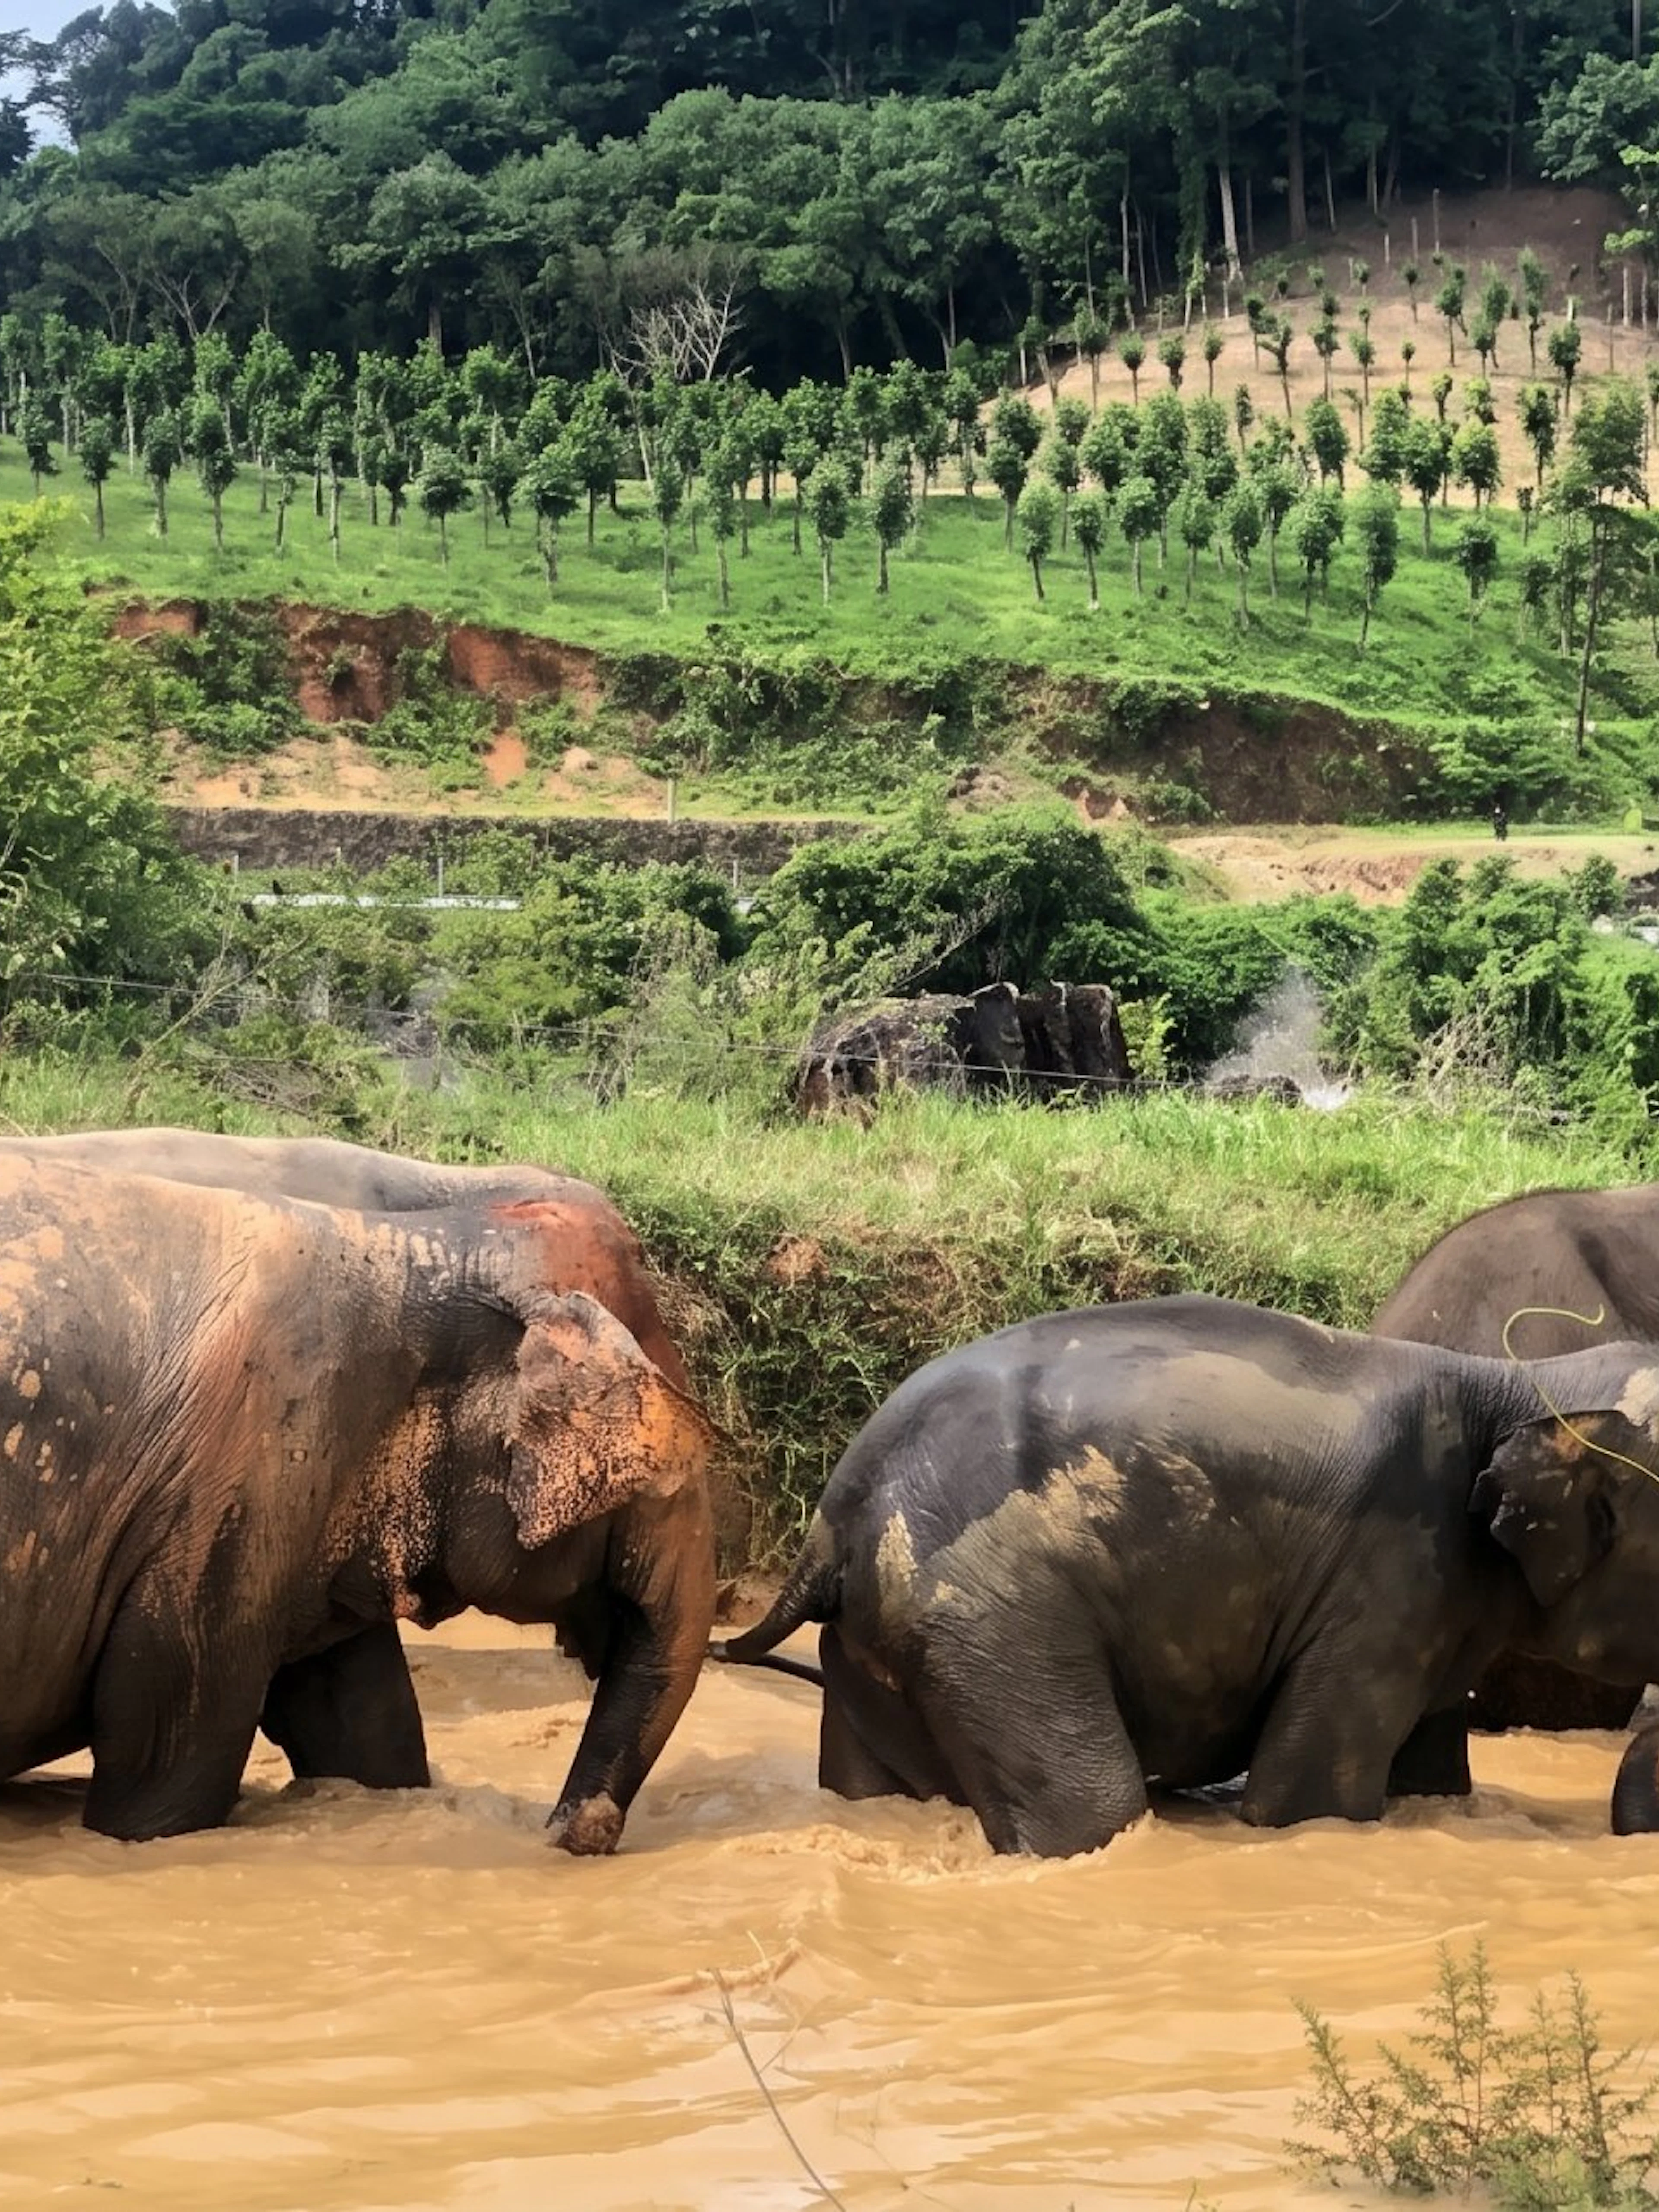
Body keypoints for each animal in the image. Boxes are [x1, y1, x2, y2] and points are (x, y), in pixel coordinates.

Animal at [0, 1153, 716, 1849]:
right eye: (648, 1481)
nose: (569, 1827)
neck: (429, 1245)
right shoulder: (238, 1493)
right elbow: (164, 1776)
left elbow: (369, 1732)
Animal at [719, 1293, 1659, 1858]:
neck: (1516, 1381)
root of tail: (832, 1523)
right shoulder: (1390, 1575)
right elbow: (1306, 1794)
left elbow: (1430, 1773)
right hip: (985, 1611)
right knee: (1091, 1808)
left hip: (881, 1636)